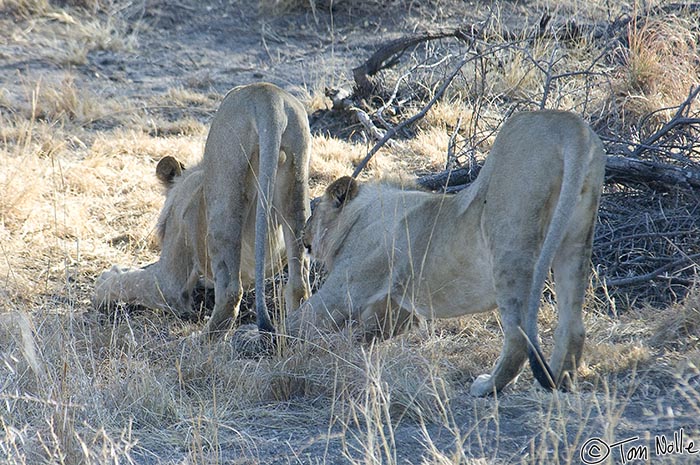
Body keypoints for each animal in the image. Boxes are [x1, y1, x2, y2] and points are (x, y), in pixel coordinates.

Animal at [93, 82, 312, 338]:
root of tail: (267, 95)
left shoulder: (171, 281)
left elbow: (134, 282)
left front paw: (105, 280)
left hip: (223, 178)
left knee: (230, 290)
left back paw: (200, 338)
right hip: (296, 177)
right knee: (298, 283)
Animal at [284, 109, 608, 396]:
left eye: (314, 209)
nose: (303, 236)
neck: (361, 215)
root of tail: (570, 127)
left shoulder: (346, 287)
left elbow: (302, 319)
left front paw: (275, 344)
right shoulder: (397, 306)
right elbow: (369, 332)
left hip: (510, 248)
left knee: (518, 334)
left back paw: (488, 387)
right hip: (575, 238)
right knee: (573, 325)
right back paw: (558, 382)